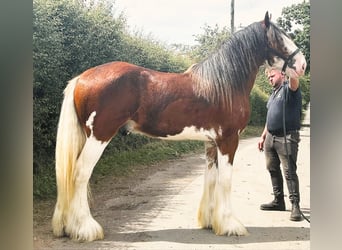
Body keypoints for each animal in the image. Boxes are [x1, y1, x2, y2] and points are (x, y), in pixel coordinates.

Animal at [52, 12, 306, 242]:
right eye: (280, 38)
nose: (303, 65)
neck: (223, 85)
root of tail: (82, 77)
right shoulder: (228, 140)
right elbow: (225, 180)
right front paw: (230, 225)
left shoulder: (211, 142)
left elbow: (211, 177)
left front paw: (210, 222)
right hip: (99, 136)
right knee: (80, 174)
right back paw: (86, 229)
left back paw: (68, 226)